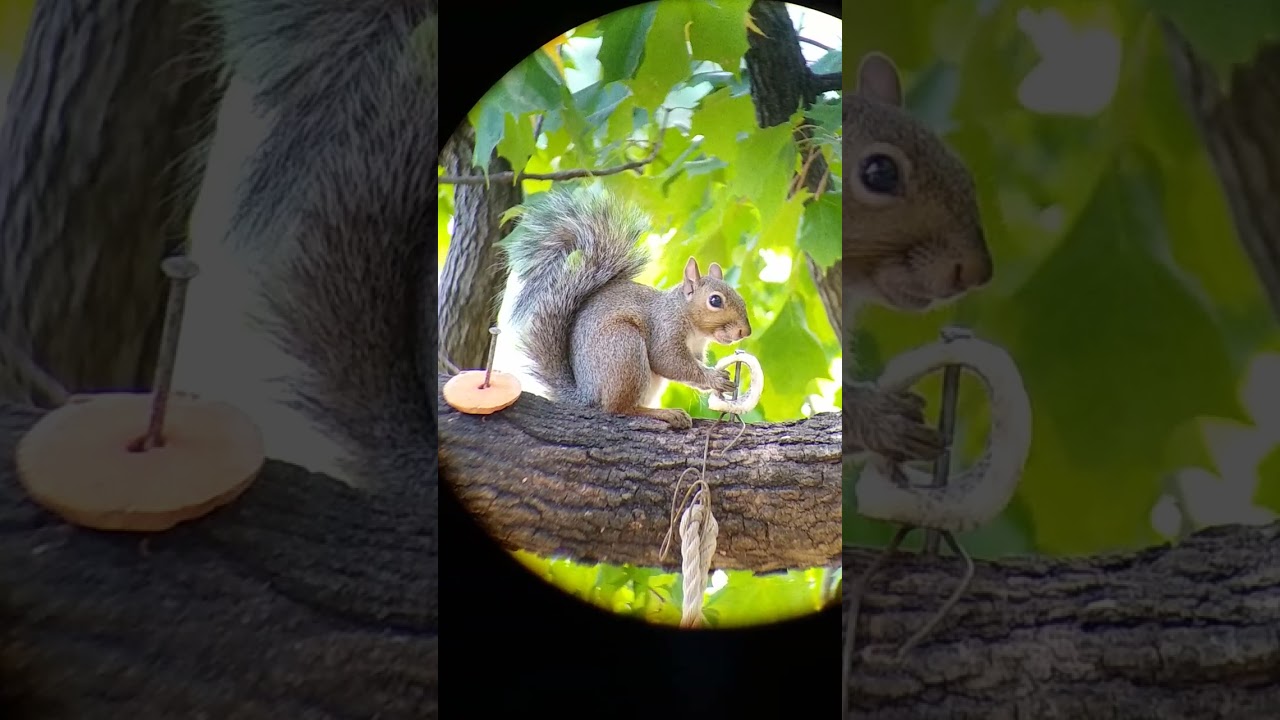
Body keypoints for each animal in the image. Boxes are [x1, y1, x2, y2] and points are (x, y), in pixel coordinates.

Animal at [503, 187, 752, 430]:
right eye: (715, 301)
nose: (745, 331)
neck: (689, 321)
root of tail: (587, 394)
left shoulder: (697, 349)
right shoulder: (664, 328)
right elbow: (670, 361)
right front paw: (714, 379)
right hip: (625, 348)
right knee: (619, 408)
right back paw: (664, 413)